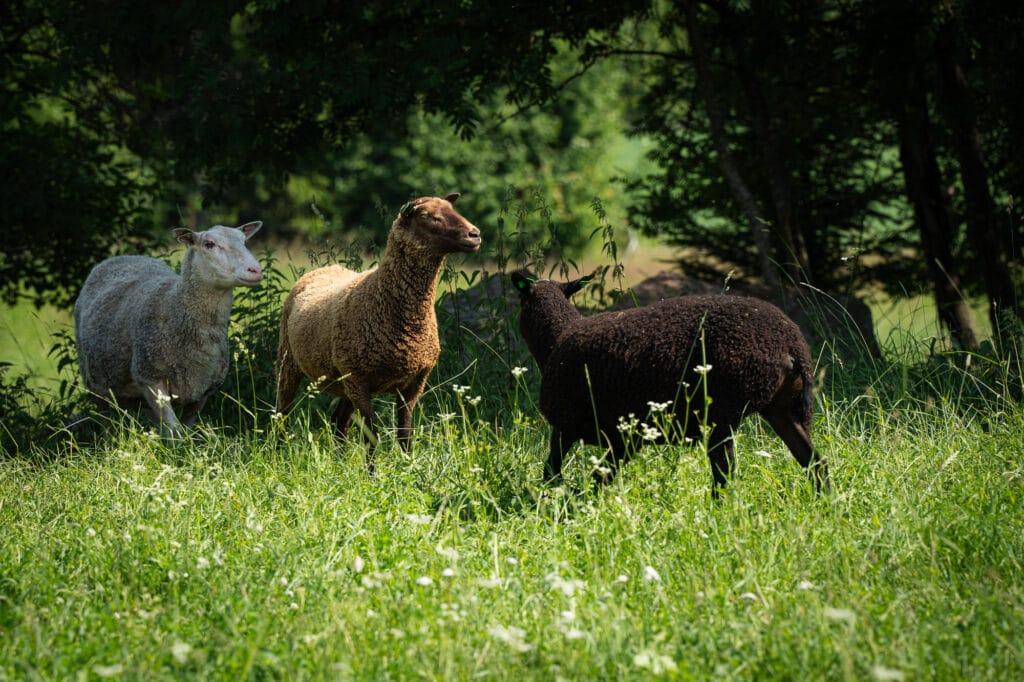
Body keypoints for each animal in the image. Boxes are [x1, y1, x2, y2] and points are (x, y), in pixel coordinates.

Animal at [74, 223, 262, 436]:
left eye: (244, 241)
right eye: (209, 244)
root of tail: (123, 256)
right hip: (96, 383)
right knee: (106, 421)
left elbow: (184, 430)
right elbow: (175, 431)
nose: (256, 270)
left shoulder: (203, 392)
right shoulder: (151, 379)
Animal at [276, 193, 483, 471]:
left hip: (346, 380)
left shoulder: (414, 384)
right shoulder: (361, 381)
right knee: (282, 412)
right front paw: (372, 475)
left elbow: (405, 434)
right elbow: (372, 436)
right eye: (429, 216)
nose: (475, 234)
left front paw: (409, 470)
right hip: (290, 361)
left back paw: (339, 465)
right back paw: (278, 455)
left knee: (339, 422)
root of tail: (327, 268)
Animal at [512, 270, 831, 493]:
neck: (556, 338)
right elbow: (599, 478)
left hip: (723, 412)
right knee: (815, 463)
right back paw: (825, 505)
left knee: (724, 478)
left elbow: (555, 473)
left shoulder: (566, 424)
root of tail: (791, 345)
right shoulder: (623, 438)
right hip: (786, 408)